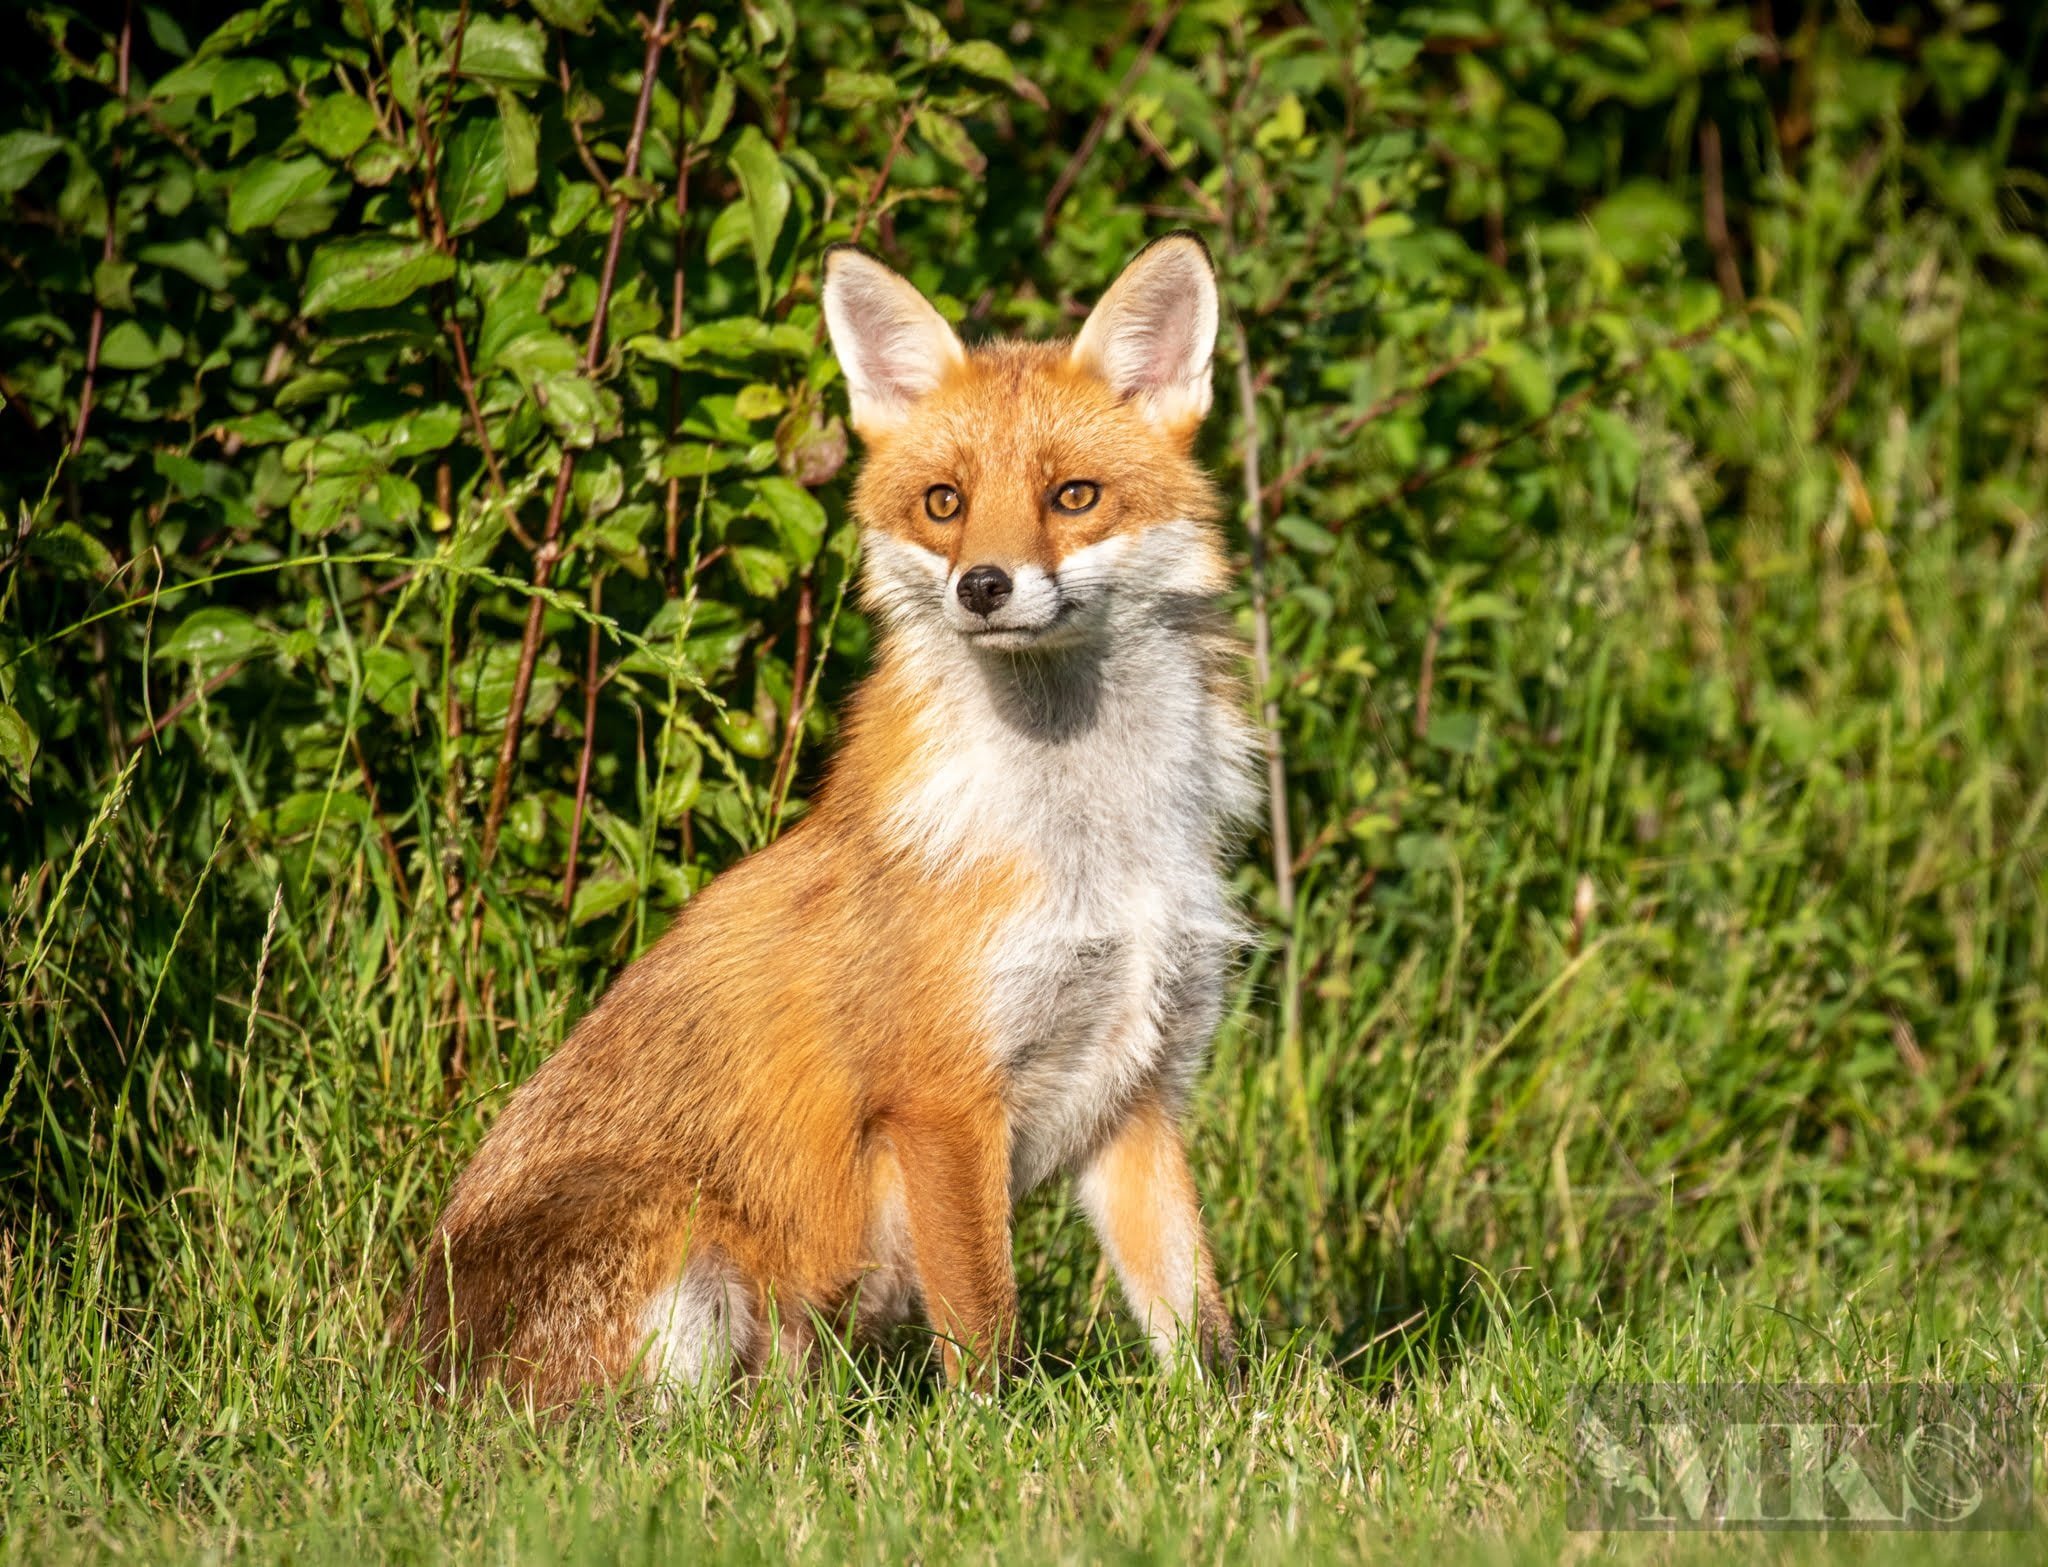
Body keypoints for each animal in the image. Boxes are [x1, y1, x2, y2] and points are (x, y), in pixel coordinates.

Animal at [396, 232, 1259, 1406]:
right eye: (943, 502)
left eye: (1073, 495)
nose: (984, 586)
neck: (1091, 849)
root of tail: (404, 1365)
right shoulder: (942, 1099)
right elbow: (985, 1329)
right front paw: (988, 1435)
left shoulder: (1139, 1086)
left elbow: (1198, 1328)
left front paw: (1226, 1422)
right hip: (686, 1251)